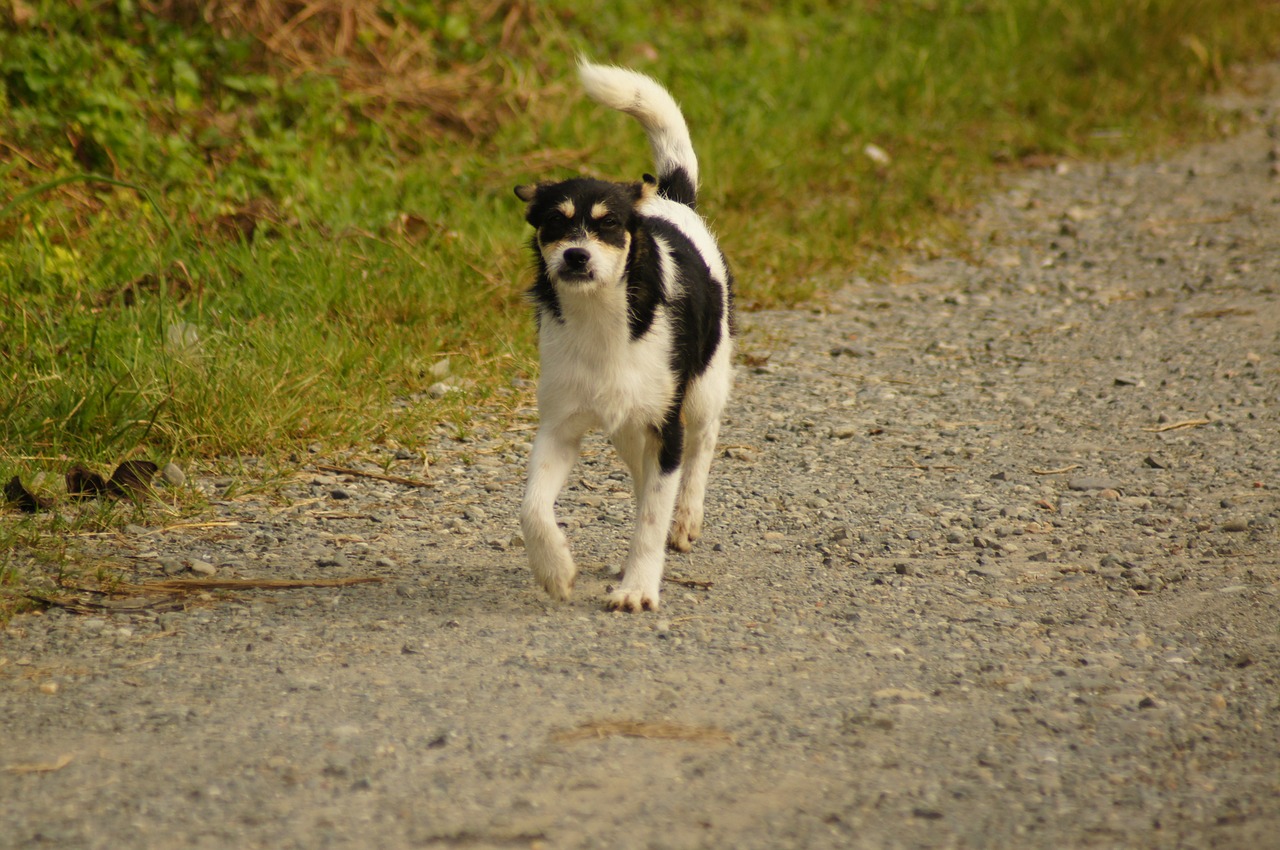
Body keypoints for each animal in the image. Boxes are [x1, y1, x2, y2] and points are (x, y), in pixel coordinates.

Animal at [514, 63, 737, 614]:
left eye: (609, 223)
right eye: (554, 223)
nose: (575, 256)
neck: (601, 319)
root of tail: (669, 198)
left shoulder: (665, 426)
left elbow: (652, 521)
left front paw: (638, 587)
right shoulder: (560, 426)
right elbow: (532, 507)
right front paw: (555, 570)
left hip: (701, 388)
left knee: (702, 444)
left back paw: (687, 518)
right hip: (626, 428)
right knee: (644, 478)